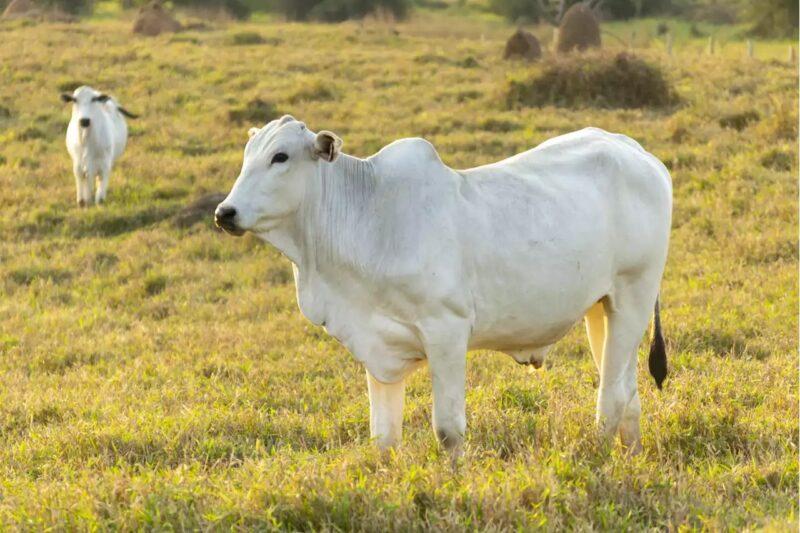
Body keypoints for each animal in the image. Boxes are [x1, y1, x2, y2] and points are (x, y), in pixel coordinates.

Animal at [216, 115, 672, 454]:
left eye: (280, 156)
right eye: (247, 156)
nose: (225, 212)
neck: (368, 217)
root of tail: (633, 149)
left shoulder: (447, 331)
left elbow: (449, 431)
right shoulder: (377, 347)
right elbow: (384, 438)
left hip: (634, 295)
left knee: (611, 400)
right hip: (601, 308)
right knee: (628, 394)